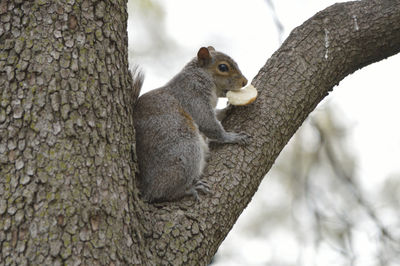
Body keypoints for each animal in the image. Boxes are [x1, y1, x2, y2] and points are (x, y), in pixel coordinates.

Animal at [133, 46, 248, 204]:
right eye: (223, 67)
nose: (245, 82)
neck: (201, 76)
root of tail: (146, 188)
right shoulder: (193, 95)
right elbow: (208, 123)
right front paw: (231, 137)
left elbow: (216, 114)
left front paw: (228, 108)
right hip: (185, 149)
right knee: (162, 193)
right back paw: (188, 189)